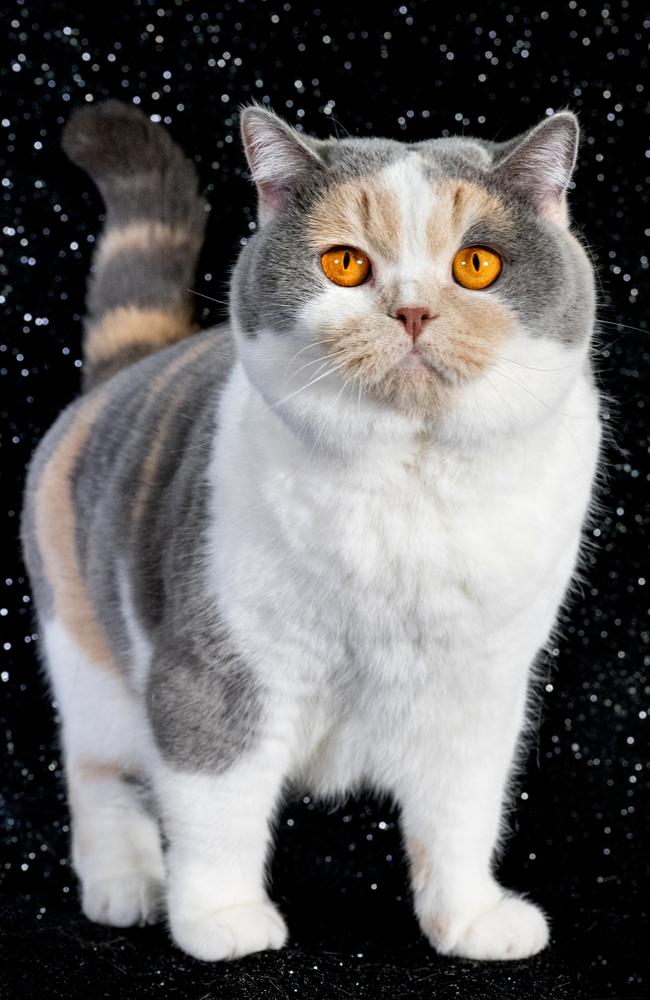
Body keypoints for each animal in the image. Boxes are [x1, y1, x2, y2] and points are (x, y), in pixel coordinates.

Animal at [20, 99, 600, 960]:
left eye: (476, 266)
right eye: (346, 265)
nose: (412, 310)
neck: (408, 490)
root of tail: (126, 373)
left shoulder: (479, 689)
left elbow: (461, 814)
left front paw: (468, 919)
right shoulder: (213, 671)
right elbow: (217, 806)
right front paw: (223, 919)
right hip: (87, 664)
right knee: (101, 780)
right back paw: (128, 889)